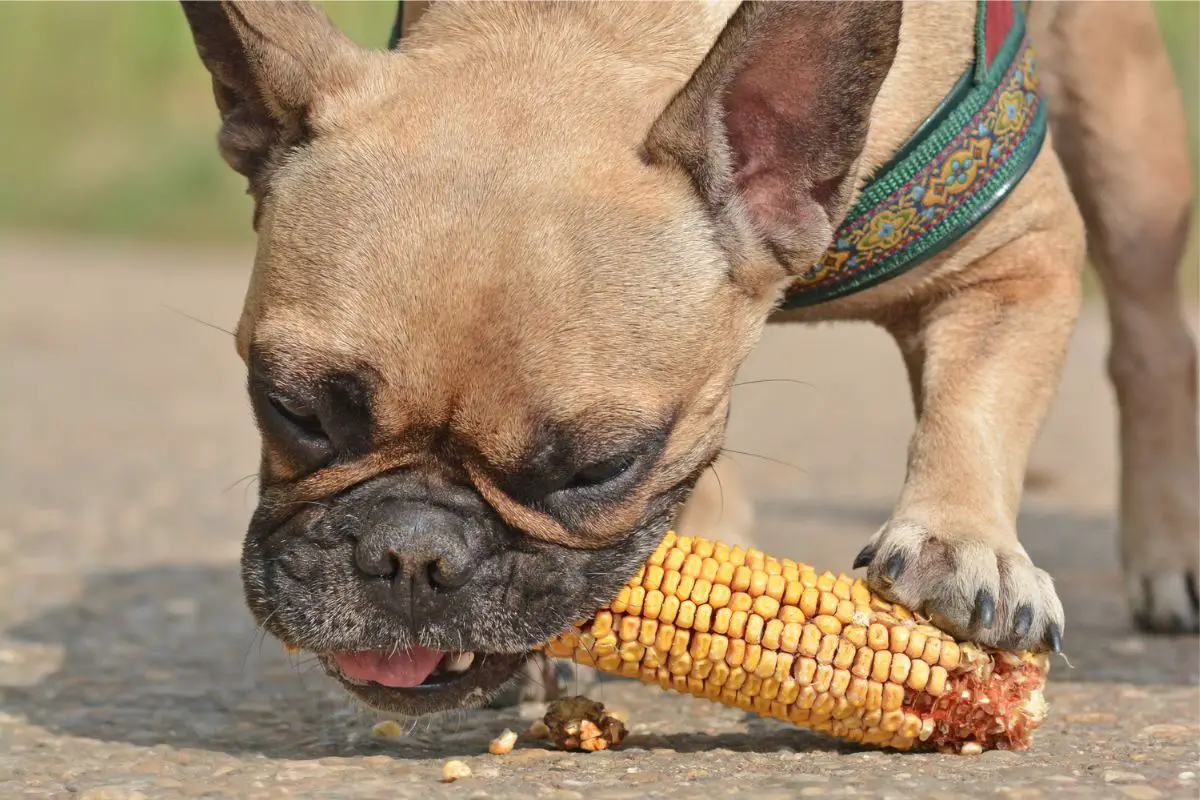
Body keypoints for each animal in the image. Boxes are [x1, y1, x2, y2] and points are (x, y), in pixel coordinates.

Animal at [175, 0, 1190, 714]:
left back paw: (1165, 560)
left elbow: (971, 411)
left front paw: (962, 548)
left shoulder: (1015, 253)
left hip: (1122, 132)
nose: (410, 553)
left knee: (1150, 343)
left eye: (599, 468)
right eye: (292, 409)